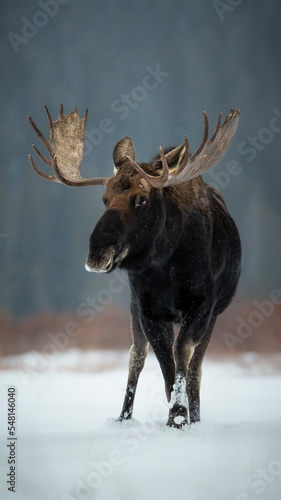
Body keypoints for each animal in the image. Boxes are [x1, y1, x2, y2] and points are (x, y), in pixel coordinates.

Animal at [28, 103, 241, 428]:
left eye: (141, 200)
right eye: (105, 199)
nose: (97, 252)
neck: (167, 264)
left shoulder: (204, 304)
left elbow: (182, 356)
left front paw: (182, 418)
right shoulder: (146, 307)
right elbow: (163, 362)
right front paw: (175, 417)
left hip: (214, 313)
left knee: (195, 368)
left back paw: (195, 416)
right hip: (132, 305)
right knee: (135, 356)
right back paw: (123, 417)